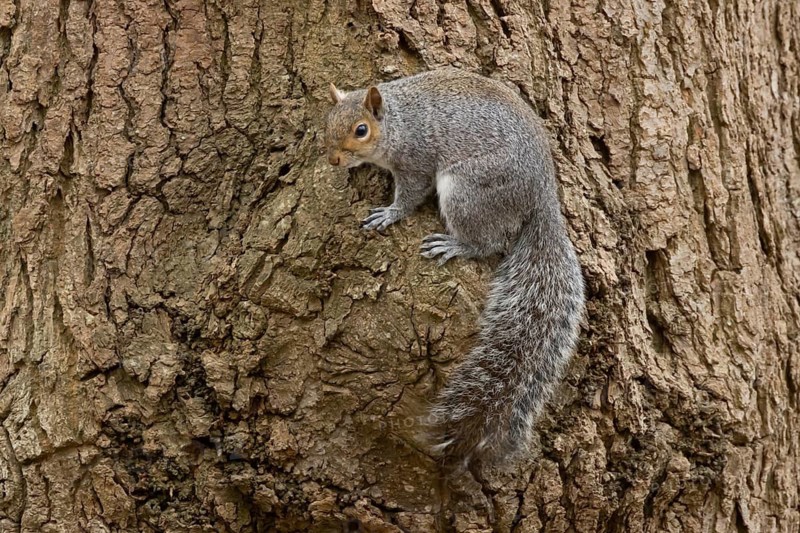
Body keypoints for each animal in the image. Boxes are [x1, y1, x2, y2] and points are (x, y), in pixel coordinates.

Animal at [324, 68, 585, 472]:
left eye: (361, 130)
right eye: (327, 123)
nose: (334, 160)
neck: (399, 121)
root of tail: (543, 198)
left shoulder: (415, 161)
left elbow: (411, 195)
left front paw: (390, 213)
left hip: (469, 191)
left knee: (488, 242)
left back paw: (455, 244)